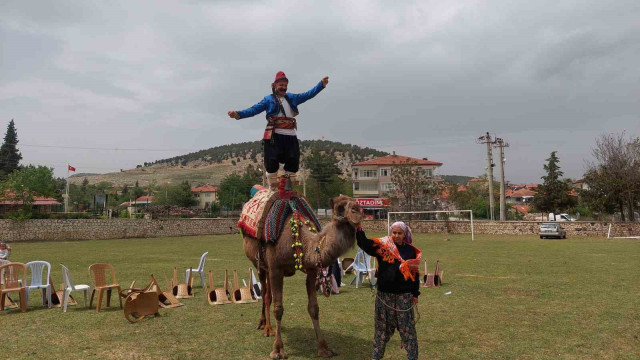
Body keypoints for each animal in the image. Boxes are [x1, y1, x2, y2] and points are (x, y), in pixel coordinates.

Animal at [242, 195, 362, 358]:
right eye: (340, 207)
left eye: (358, 205)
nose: (357, 213)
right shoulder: (275, 269)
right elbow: (278, 308)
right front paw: (278, 350)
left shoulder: (311, 270)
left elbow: (314, 308)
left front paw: (323, 348)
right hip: (260, 265)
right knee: (266, 294)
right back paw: (266, 328)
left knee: (269, 294)